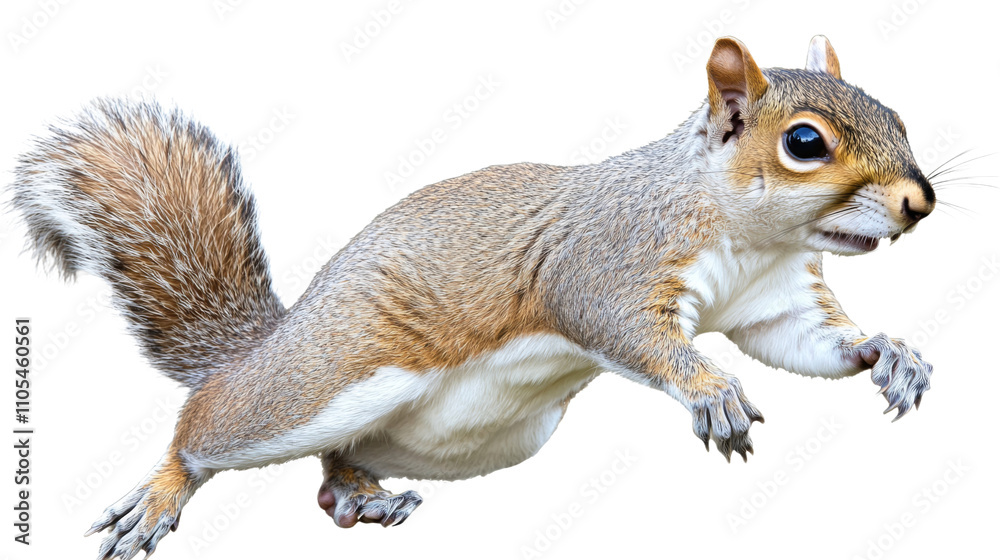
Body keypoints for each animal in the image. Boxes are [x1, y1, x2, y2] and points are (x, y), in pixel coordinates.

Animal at [10, 35, 934, 559]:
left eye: (897, 114)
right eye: (805, 142)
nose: (919, 202)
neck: (749, 236)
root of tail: (278, 335)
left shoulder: (776, 302)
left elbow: (807, 344)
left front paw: (889, 352)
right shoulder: (605, 263)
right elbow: (630, 331)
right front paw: (710, 390)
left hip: (483, 437)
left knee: (334, 460)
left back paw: (356, 492)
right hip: (323, 380)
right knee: (211, 425)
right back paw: (163, 492)